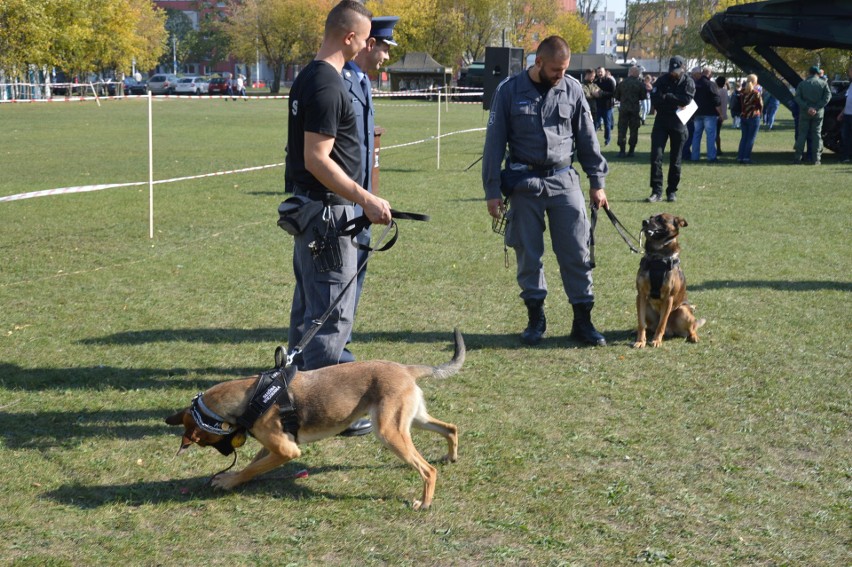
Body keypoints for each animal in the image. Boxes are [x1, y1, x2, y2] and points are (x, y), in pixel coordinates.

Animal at [167, 328, 466, 510]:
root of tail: (406, 369)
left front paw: (229, 481)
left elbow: (252, 468)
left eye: (202, 441)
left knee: (428, 469)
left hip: (389, 432)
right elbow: (254, 465)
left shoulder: (287, 449)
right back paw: (451, 457)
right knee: (450, 428)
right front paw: (235, 478)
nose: (226, 452)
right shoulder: (273, 446)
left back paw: (424, 503)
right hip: (412, 420)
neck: (253, 395)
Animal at [632, 213, 704, 348]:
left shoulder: (668, 298)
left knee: (691, 327)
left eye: (661, 219)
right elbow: (641, 323)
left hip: (682, 311)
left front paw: (656, 340)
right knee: (649, 326)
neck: (657, 257)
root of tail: (671, 331)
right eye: (651, 216)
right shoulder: (641, 295)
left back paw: (694, 336)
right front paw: (640, 341)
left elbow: (662, 324)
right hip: (648, 306)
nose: (644, 222)